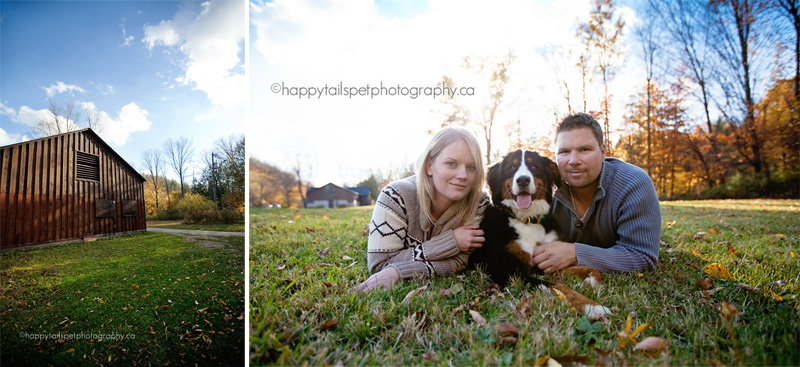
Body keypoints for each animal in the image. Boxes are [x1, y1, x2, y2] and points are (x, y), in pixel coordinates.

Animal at [468, 150, 612, 322]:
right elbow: (559, 287)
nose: (523, 180)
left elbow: (591, 269)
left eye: (534, 166)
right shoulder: (510, 272)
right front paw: (592, 307)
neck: (528, 220)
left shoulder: (544, 263)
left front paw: (590, 282)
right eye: (512, 167)